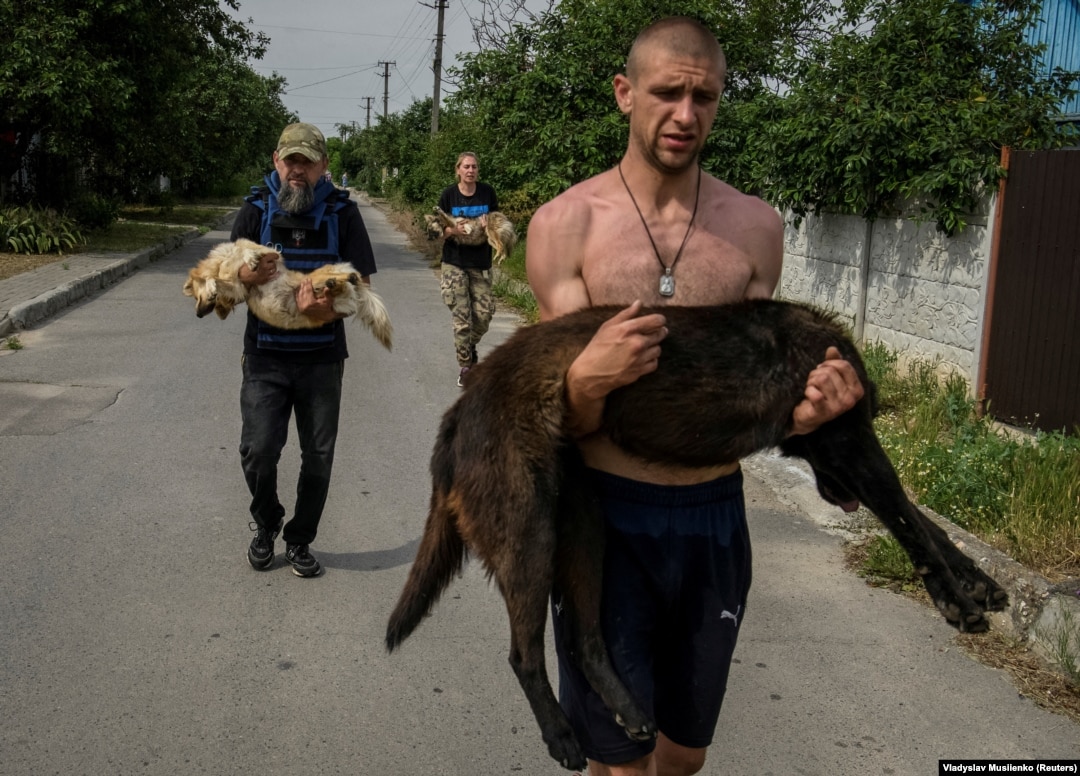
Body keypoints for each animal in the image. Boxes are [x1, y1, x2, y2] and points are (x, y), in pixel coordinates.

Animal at [180, 238, 393, 349]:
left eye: (195, 297)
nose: (198, 315)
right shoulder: (239, 288)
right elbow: (220, 279)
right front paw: (215, 285)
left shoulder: (271, 254)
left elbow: (247, 250)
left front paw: (249, 260)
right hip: (336, 299)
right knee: (341, 285)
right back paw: (336, 284)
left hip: (317, 277)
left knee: (348, 277)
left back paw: (346, 278)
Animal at [384, 300, 1006, 772]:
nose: (838, 495)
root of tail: (460, 409)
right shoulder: (851, 443)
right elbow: (907, 518)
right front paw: (954, 598)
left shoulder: (853, 452)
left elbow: (922, 519)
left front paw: (978, 583)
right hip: (530, 533)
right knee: (524, 655)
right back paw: (560, 734)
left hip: (584, 525)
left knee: (586, 640)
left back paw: (628, 708)